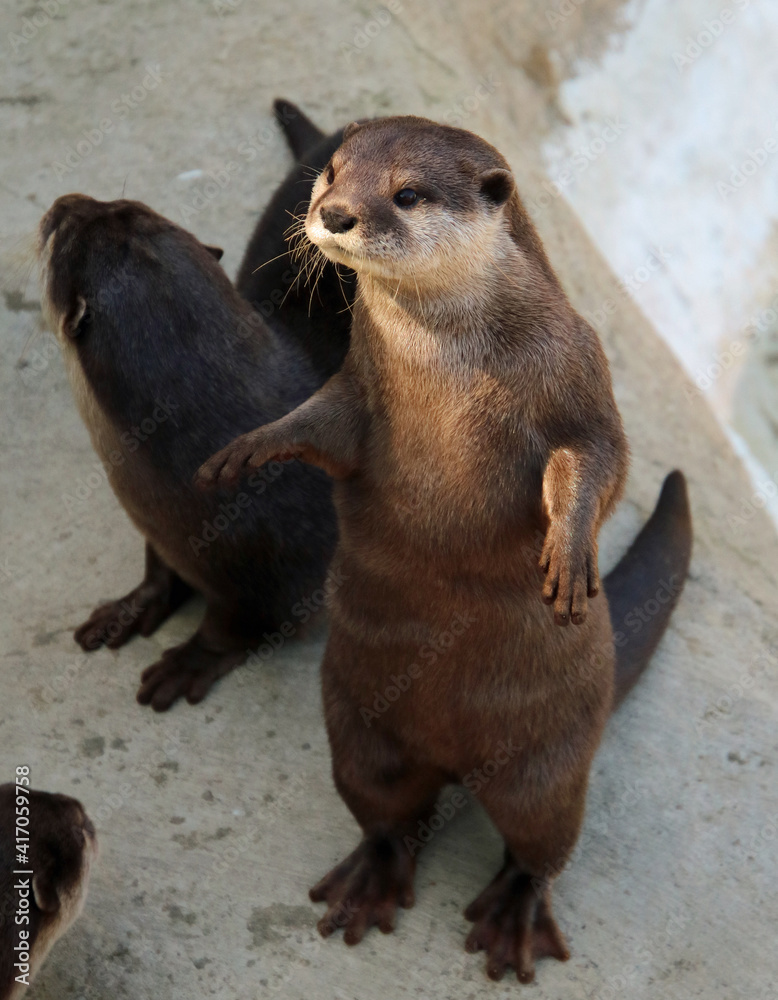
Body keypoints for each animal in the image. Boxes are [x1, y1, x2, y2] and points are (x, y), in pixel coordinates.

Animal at [197, 116, 692, 982]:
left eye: (406, 193)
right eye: (331, 172)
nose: (334, 214)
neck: (449, 357)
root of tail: (459, 761)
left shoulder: (579, 367)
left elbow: (601, 456)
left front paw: (568, 554)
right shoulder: (358, 380)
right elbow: (317, 423)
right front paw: (250, 448)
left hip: (549, 767)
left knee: (541, 846)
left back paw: (512, 918)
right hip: (362, 730)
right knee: (386, 811)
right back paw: (371, 880)